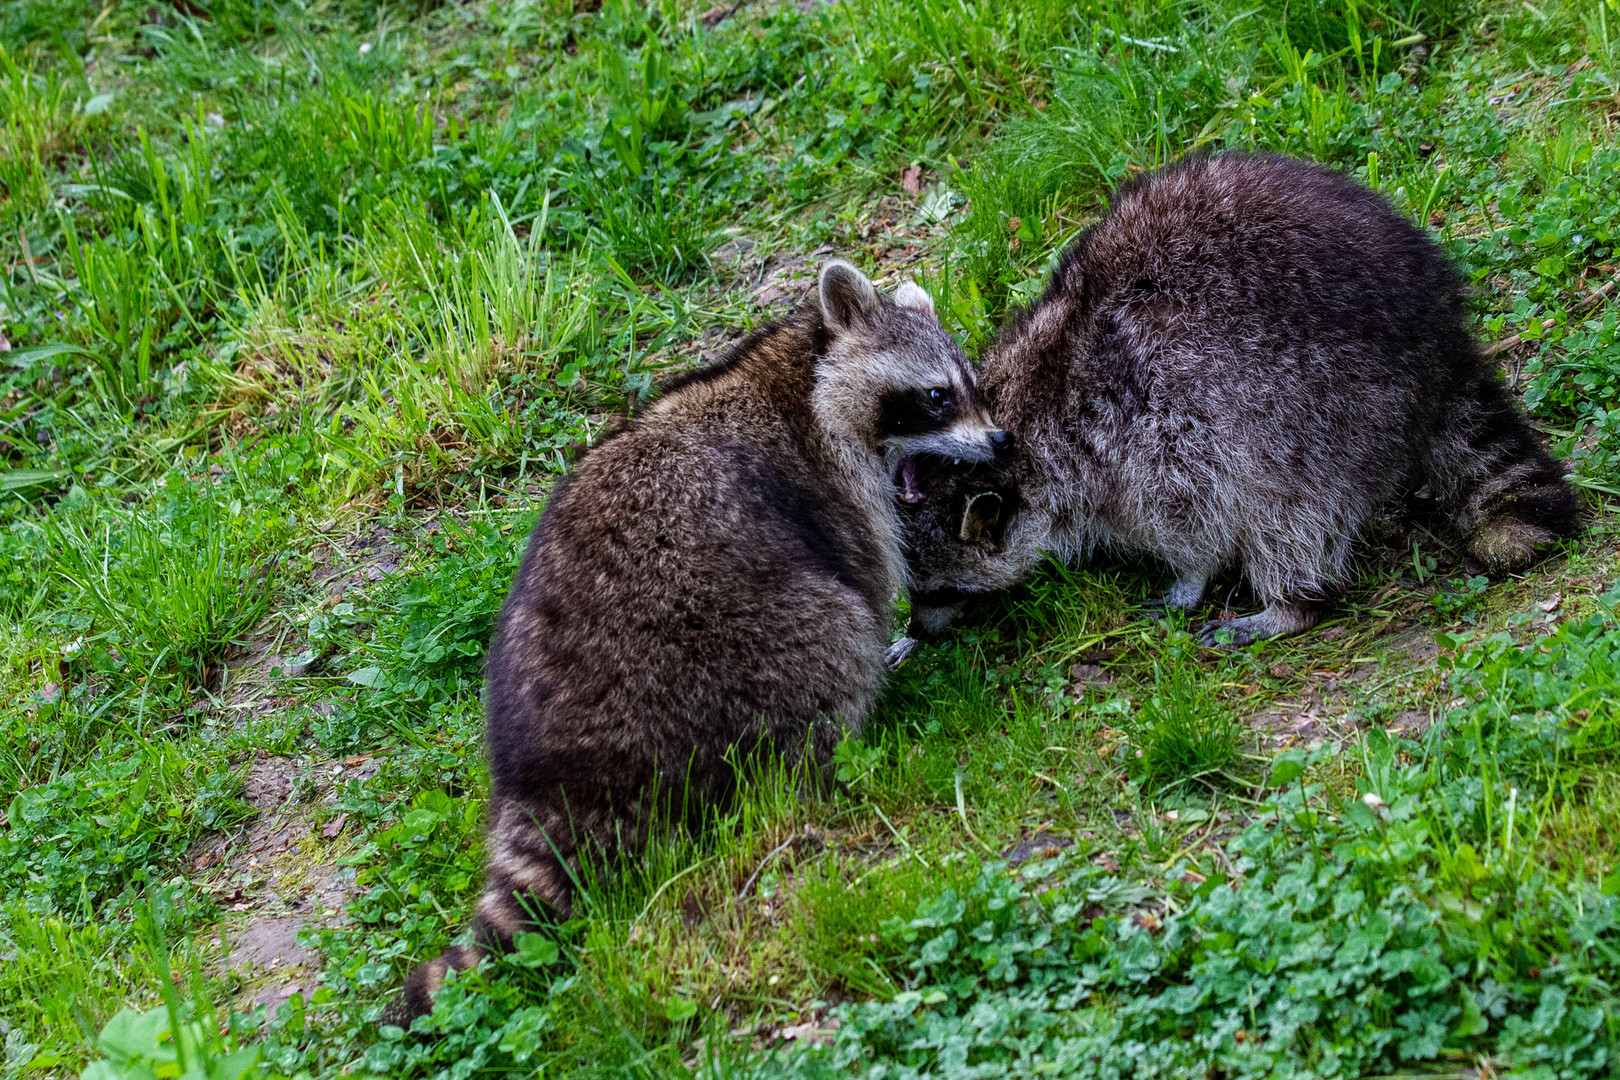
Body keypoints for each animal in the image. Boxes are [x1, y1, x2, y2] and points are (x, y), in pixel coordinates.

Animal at [392, 259, 997, 1023]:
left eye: (972, 387)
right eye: (937, 397)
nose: (1000, 442)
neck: (802, 370)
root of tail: (563, 768)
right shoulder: (834, 489)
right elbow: (862, 575)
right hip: (731, 651)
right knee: (831, 639)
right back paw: (840, 756)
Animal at [894, 152, 1574, 650]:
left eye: (944, 591)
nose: (917, 631)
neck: (1015, 421)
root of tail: (1436, 330)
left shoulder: (1146, 435)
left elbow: (1198, 518)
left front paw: (1191, 578)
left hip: (1324, 407)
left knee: (1292, 514)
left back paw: (1289, 605)